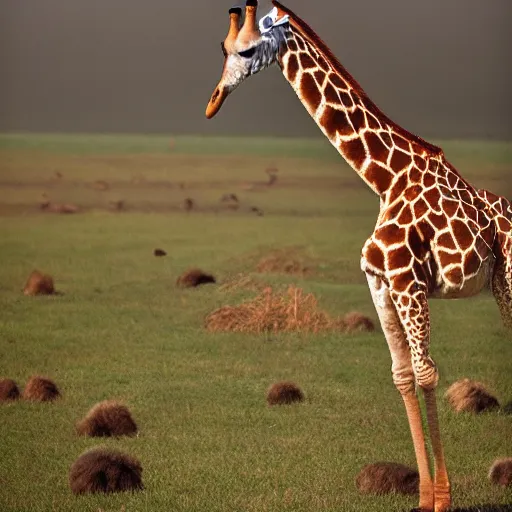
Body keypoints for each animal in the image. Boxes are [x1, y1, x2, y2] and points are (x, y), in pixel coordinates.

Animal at [204, 2, 512, 510]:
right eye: (223, 48)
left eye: (247, 50)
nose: (213, 101)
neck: (385, 179)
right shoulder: (381, 283)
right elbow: (403, 376)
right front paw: (422, 498)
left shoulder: (409, 282)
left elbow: (426, 374)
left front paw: (443, 498)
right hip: (499, 284)